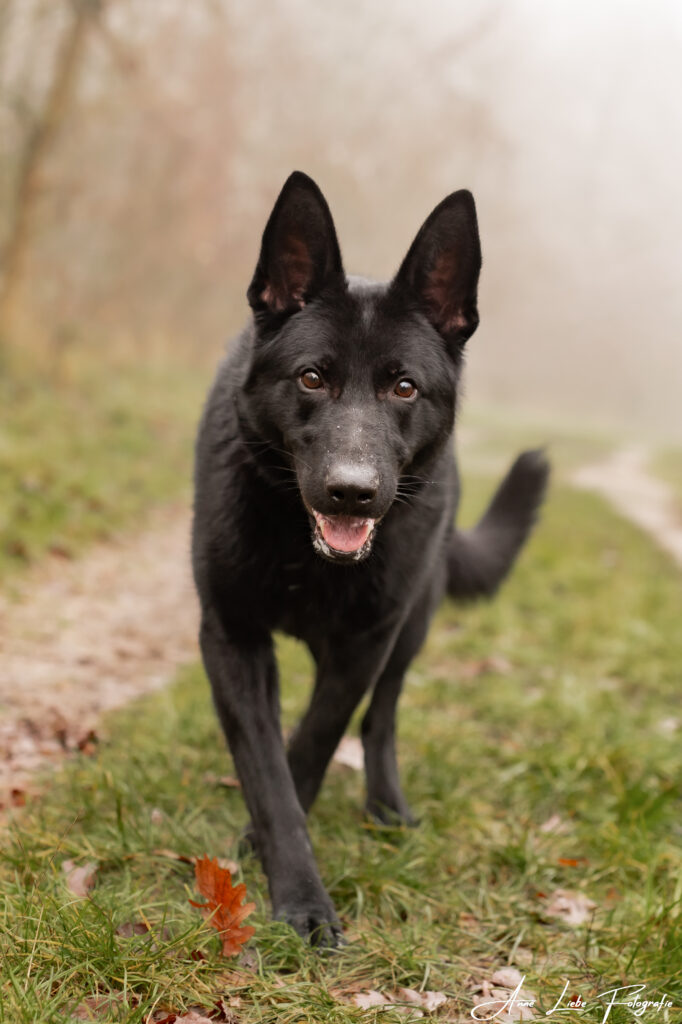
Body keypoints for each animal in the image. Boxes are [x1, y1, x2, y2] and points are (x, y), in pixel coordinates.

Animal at [191, 171, 549, 945]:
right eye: (311, 379)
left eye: (404, 387)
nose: (351, 492)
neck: (306, 552)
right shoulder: (232, 639)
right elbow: (270, 772)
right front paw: (297, 892)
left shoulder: (365, 643)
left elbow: (313, 744)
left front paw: (283, 870)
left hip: (410, 625)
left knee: (381, 719)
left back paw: (386, 804)